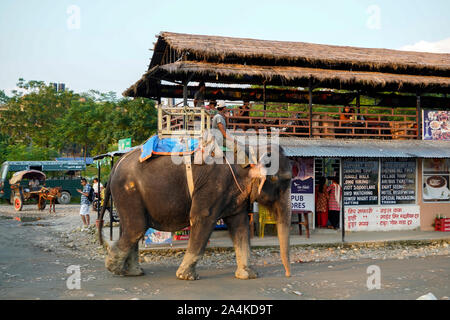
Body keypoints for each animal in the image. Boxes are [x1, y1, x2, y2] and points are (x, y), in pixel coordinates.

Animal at [97, 142, 292, 280]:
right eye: (280, 180)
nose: (288, 275)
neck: (248, 152)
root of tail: (115, 165)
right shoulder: (212, 187)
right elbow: (202, 218)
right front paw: (186, 277)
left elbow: (240, 225)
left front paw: (248, 275)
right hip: (128, 192)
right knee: (136, 228)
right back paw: (115, 269)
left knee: (130, 228)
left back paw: (133, 272)